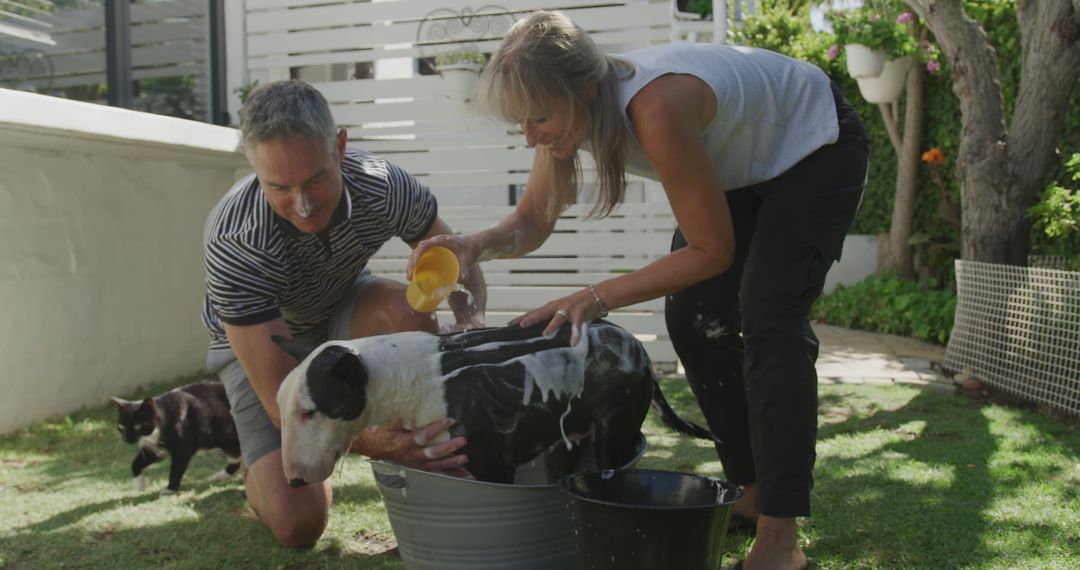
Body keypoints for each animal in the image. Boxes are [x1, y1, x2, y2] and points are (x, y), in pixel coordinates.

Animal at [112, 382, 243, 494]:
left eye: (137, 426)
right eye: (121, 426)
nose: (126, 438)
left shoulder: (182, 451)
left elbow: (176, 469)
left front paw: (170, 489)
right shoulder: (153, 448)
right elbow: (135, 463)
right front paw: (139, 485)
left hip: (228, 440)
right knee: (236, 460)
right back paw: (220, 475)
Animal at [276, 319, 717, 485]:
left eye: (309, 412)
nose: (294, 481)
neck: (409, 376)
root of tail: (636, 345)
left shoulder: (495, 467)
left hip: (615, 431)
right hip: (565, 442)